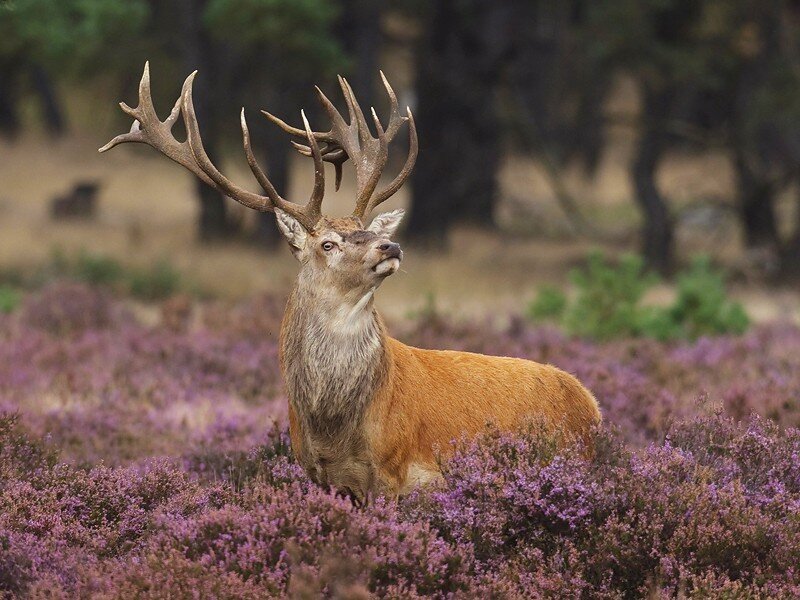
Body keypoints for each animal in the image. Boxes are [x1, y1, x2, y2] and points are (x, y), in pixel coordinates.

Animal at [100, 63, 601, 501]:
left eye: (366, 230)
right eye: (328, 244)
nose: (390, 246)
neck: (335, 428)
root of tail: (592, 405)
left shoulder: (397, 471)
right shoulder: (319, 475)